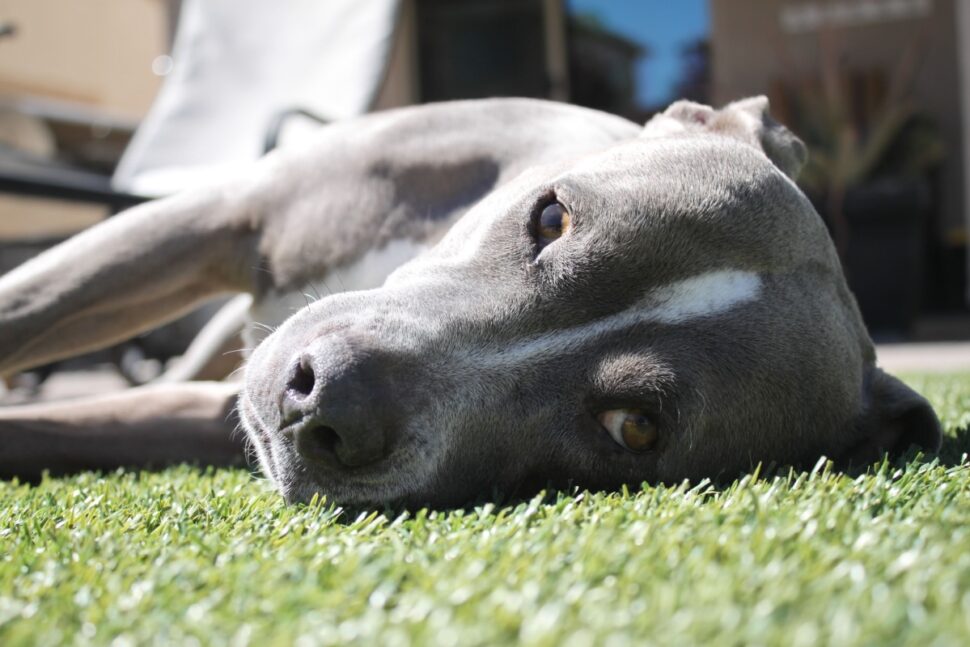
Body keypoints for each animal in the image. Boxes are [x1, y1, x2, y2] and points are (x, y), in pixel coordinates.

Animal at [0, 98, 936, 508]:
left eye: (633, 426)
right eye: (552, 215)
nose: (331, 399)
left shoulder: (205, 412)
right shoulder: (227, 215)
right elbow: (27, 304)